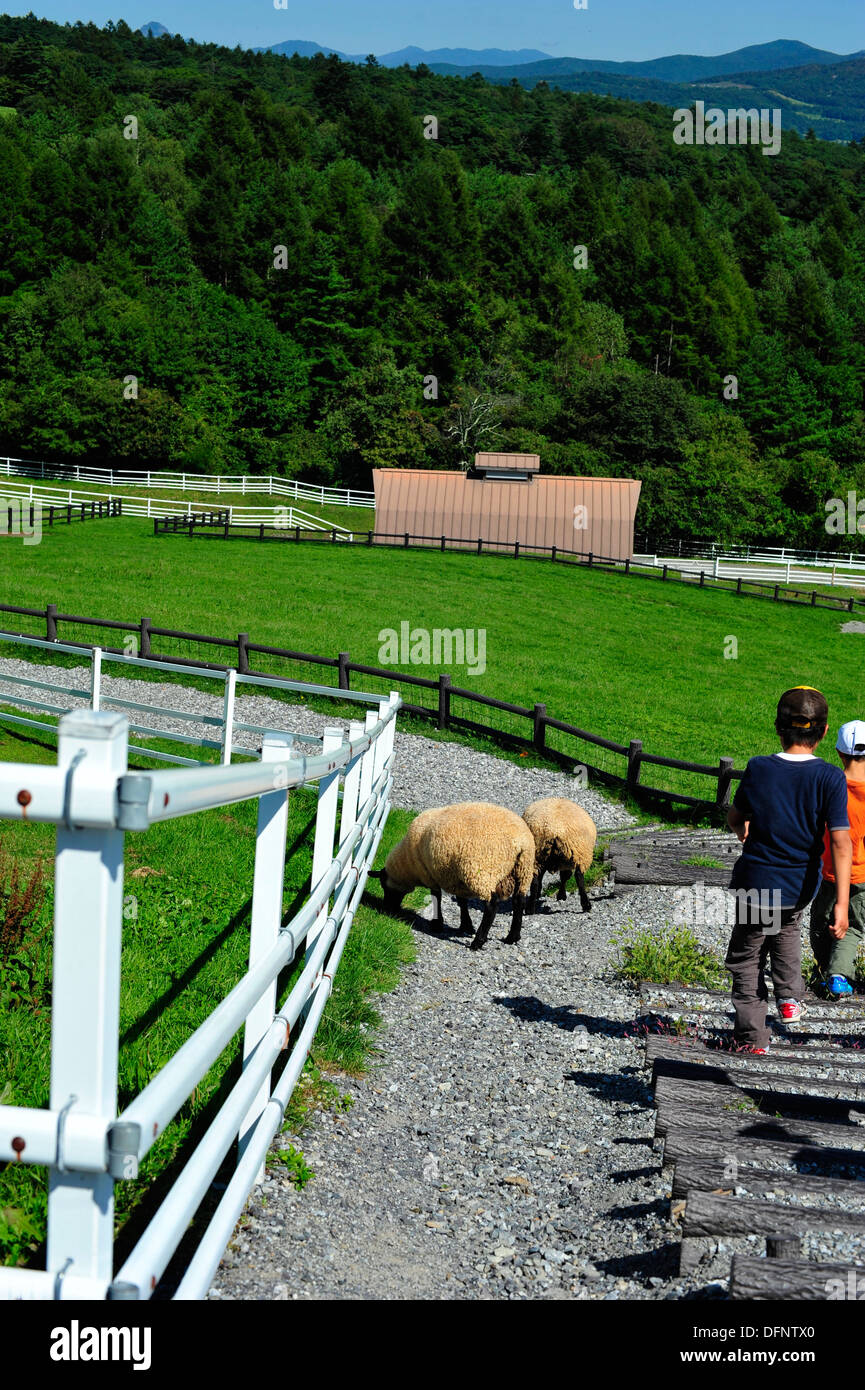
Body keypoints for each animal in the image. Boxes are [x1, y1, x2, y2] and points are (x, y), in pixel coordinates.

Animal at [378, 811, 539, 950]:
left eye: (384, 886)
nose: (387, 908)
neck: (408, 864)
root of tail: (521, 842)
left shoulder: (431, 875)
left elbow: (437, 897)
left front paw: (437, 924)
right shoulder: (457, 879)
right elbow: (462, 902)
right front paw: (466, 926)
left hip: (483, 871)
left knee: (492, 905)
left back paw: (478, 942)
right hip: (523, 870)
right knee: (519, 901)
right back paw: (512, 937)